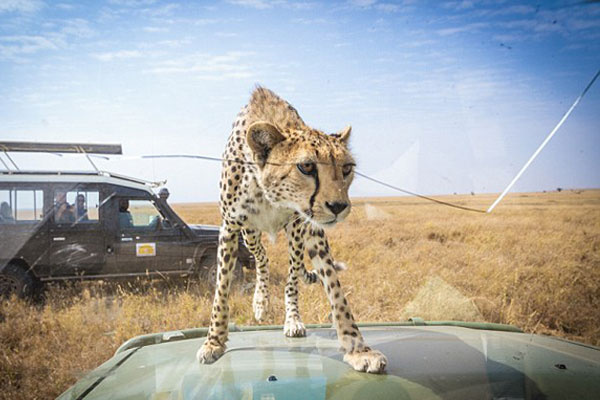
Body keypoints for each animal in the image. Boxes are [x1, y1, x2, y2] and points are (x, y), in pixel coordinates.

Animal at [195, 86, 386, 374]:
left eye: (346, 168)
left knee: (291, 272)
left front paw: (358, 349)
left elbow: (330, 290)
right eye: (306, 166)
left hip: (306, 234)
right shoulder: (229, 227)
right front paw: (213, 342)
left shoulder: (301, 225)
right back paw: (260, 302)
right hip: (249, 234)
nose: (339, 206)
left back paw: (290, 318)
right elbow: (221, 290)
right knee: (262, 257)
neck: (267, 193)